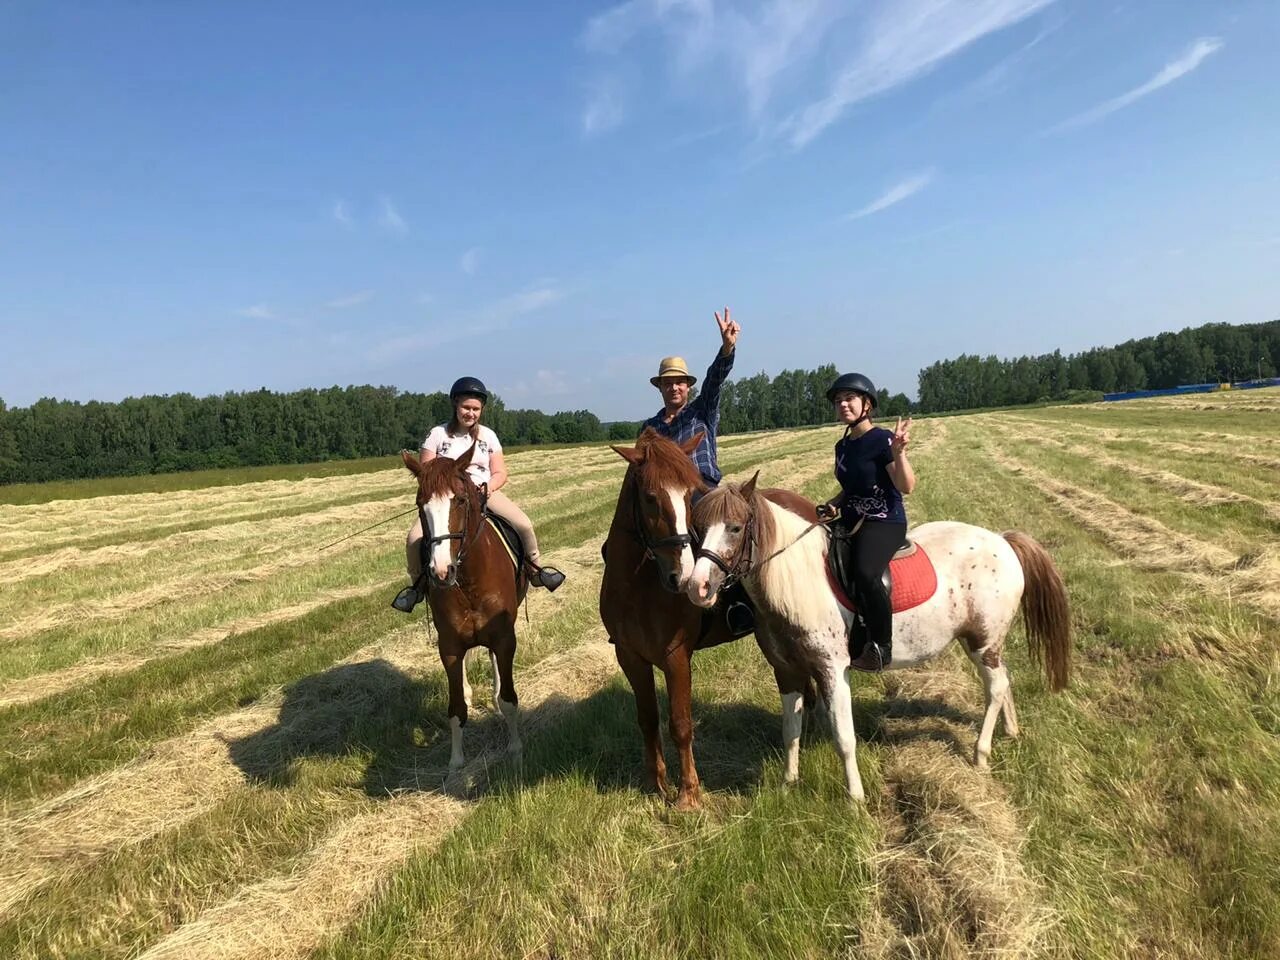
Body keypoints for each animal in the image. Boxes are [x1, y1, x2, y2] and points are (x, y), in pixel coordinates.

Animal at [396, 448, 522, 778]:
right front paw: (455, 762)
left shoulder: (504, 637)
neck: (469, 581)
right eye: (420, 505)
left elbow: (509, 699)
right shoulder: (449, 646)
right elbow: (455, 709)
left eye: (461, 500)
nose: (441, 571)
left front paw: (515, 749)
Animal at [601, 427, 747, 814]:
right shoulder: (630, 657)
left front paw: (688, 795)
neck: (638, 587)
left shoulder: (676, 656)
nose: (682, 576)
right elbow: (648, 719)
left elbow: (680, 723)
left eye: (689, 495)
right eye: (651, 498)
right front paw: (656, 783)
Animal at [691, 478, 1070, 803]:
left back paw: (980, 753)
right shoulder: (787, 673)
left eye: (735, 527)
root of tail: (1002, 541)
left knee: (995, 687)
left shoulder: (832, 669)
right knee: (1003, 679)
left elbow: (844, 737)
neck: (796, 580)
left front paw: (855, 799)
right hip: (978, 642)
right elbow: (790, 731)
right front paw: (788, 784)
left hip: (982, 642)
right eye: (698, 529)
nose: (698, 587)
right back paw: (1011, 730)